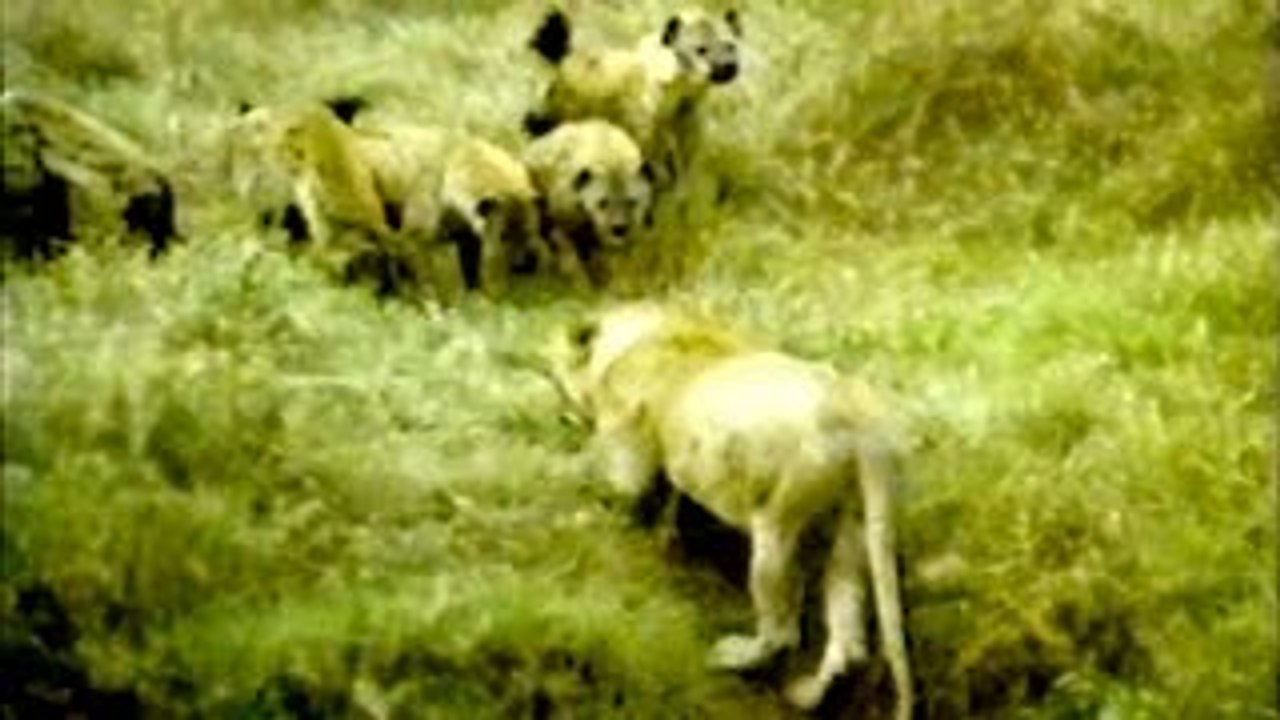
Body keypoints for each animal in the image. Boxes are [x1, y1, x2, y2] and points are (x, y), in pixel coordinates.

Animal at [521, 119, 655, 289]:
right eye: (602, 202)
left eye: (631, 202)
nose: (618, 229)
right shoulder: (564, 214)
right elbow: (567, 249)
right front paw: (581, 285)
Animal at [525, 6, 742, 190]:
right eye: (701, 49)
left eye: (730, 46)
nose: (728, 66)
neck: (678, 89)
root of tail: (564, 60)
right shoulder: (643, 124)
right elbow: (651, 156)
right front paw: (662, 183)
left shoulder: (687, 118)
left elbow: (687, 155)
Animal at [550, 303, 914, 719]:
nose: (560, 416)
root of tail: (858, 414)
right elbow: (668, 502)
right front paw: (665, 536)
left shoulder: (626, 443)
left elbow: (617, 494)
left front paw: (575, 509)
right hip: (853, 527)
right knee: (848, 638)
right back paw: (807, 693)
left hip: (777, 520)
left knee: (783, 630)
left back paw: (733, 656)